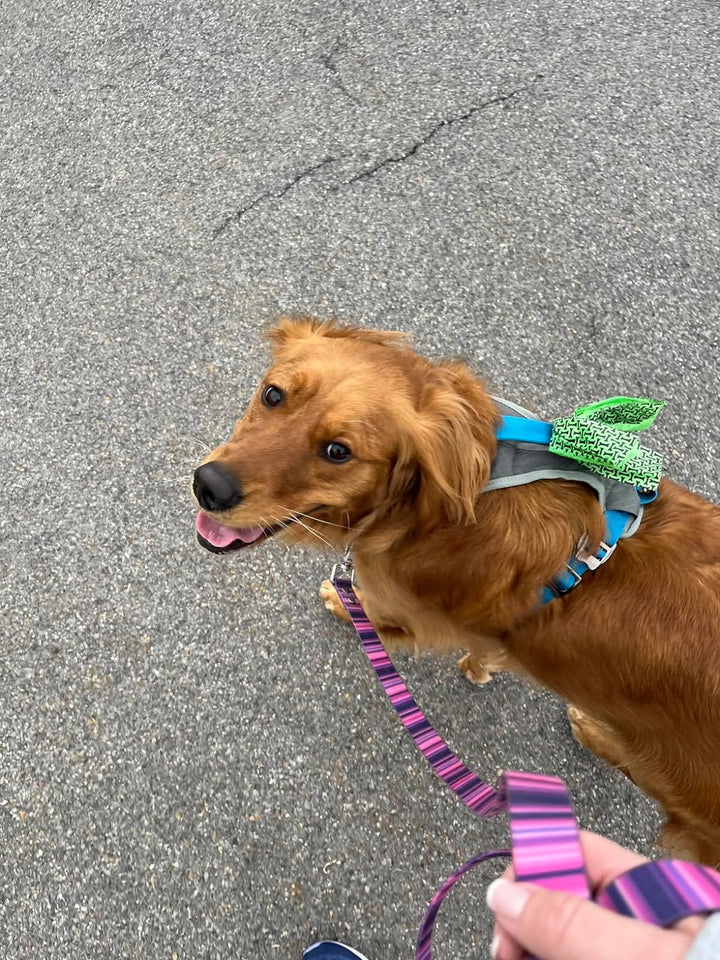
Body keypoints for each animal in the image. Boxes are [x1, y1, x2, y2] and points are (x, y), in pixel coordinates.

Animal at [191, 318, 720, 868]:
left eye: (339, 451)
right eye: (273, 394)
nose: (210, 485)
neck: (439, 507)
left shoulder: (410, 612)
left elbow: (374, 618)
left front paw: (342, 602)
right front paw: (482, 665)